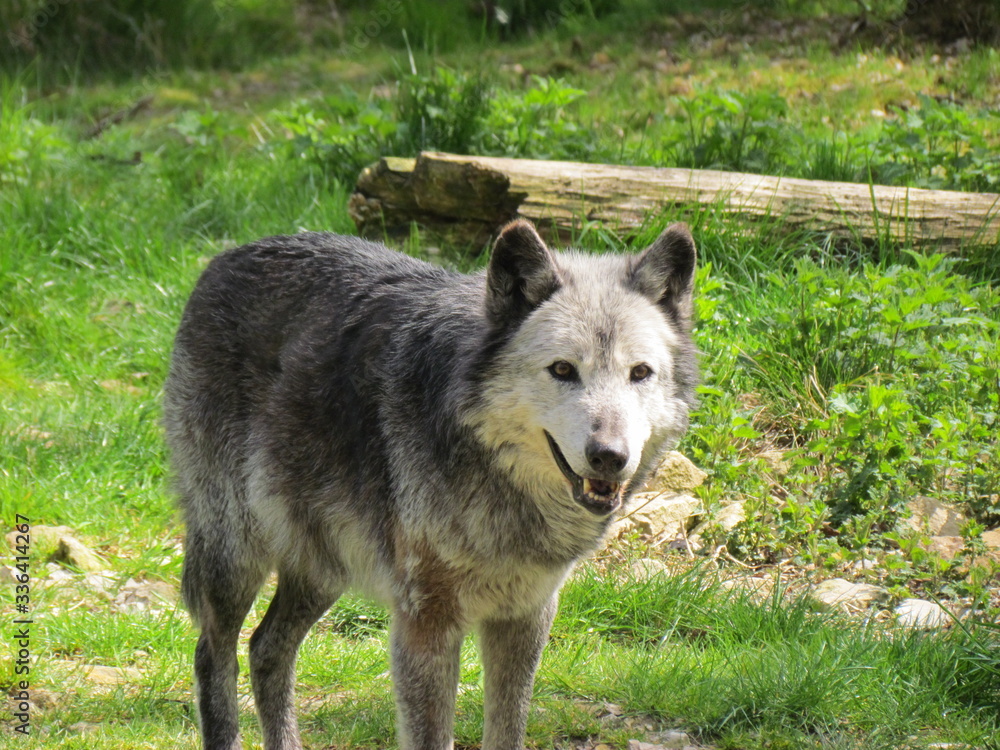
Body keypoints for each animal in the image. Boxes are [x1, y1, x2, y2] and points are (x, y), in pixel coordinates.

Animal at [164, 218, 698, 750]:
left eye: (640, 373)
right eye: (563, 369)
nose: (610, 457)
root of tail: (228, 256)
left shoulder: (525, 616)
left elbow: (507, 731)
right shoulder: (426, 624)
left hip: (322, 565)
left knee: (266, 648)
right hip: (236, 554)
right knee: (214, 653)